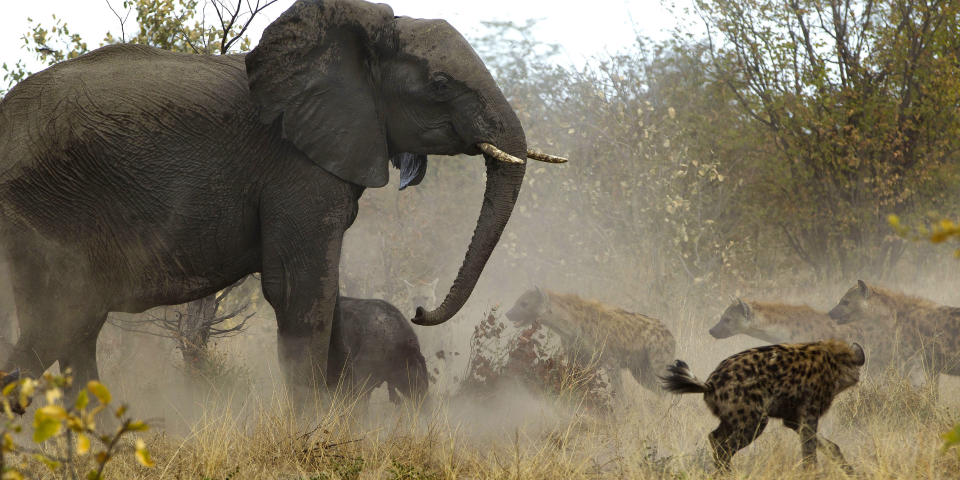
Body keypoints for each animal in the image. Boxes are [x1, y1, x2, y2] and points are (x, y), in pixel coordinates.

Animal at [0, 0, 564, 398]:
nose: (421, 309)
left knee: (75, 332)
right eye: (441, 84)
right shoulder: (296, 167)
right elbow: (300, 291)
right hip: (43, 209)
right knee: (60, 322)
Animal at [660, 342, 864, 472]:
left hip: (732, 419)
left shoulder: (793, 419)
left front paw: (850, 471)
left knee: (715, 438)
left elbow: (831, 447)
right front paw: (813, 473)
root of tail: (709, 383)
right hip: (754, 421)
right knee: (725, 448)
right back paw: (729, 474)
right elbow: (810, 452)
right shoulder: (808, 415)